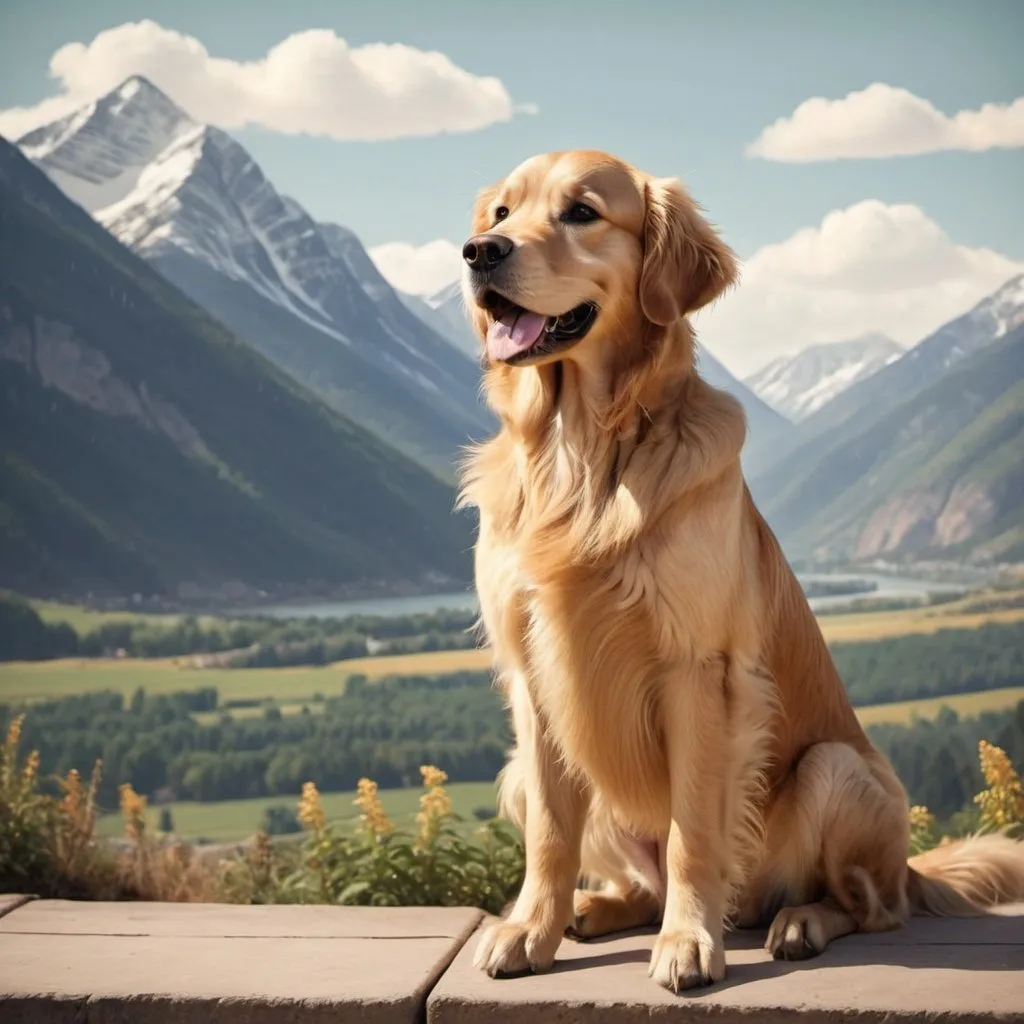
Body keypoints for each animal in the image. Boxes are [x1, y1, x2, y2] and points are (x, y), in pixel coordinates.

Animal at [456, 149, 1024, 991]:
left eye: (581, 212)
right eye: (500, 213)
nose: (479, 255)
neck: (582, 450)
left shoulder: (701, 671)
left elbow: (693, 832)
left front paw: (689, 941)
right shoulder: (534, 677)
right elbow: (553, 838)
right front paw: (533, 929)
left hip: (836, 771)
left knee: (871, 907)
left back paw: (798, 922)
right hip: (516, 774)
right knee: (639, 878)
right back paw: (600, 906)